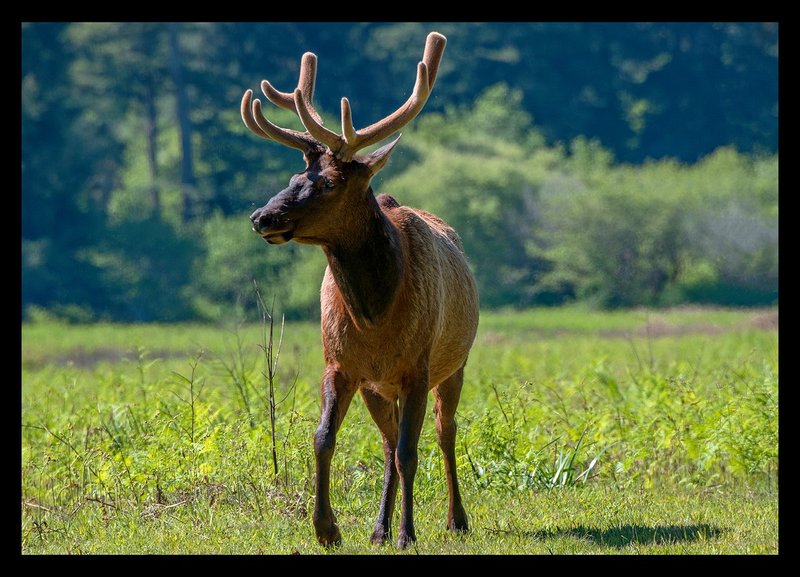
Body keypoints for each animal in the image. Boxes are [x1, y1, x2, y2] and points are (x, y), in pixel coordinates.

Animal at [241, 32, 478, 548]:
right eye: (294, 177)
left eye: (329, 182)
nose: (262, 217)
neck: (376, 316)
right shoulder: (340, 364)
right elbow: (323, 438)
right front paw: (327, 528)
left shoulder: (416, 366)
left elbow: (412, 451)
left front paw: (410, 534)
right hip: (377, 387)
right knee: (388, 443)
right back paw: (378, 528)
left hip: (454, 362)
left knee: (443, 432)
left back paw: (455, 519)